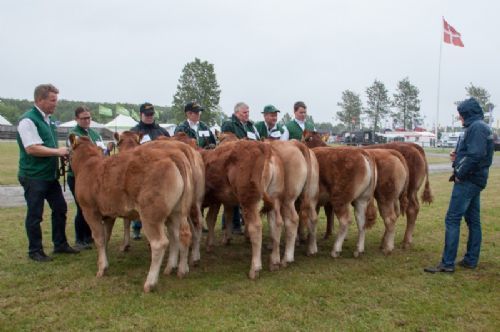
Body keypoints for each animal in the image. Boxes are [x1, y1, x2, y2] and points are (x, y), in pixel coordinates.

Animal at [69, 134, 194, 292]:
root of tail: (172, 154)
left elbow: (99, 238)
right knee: (181, 235)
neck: (87, 165)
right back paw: (180, 269)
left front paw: (102, 268)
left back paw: (150, 283)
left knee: (159, 243)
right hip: (177, 212)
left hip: (150, 214)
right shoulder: (109, 214)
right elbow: (106, 237)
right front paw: (106, 260)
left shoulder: (89, 211)